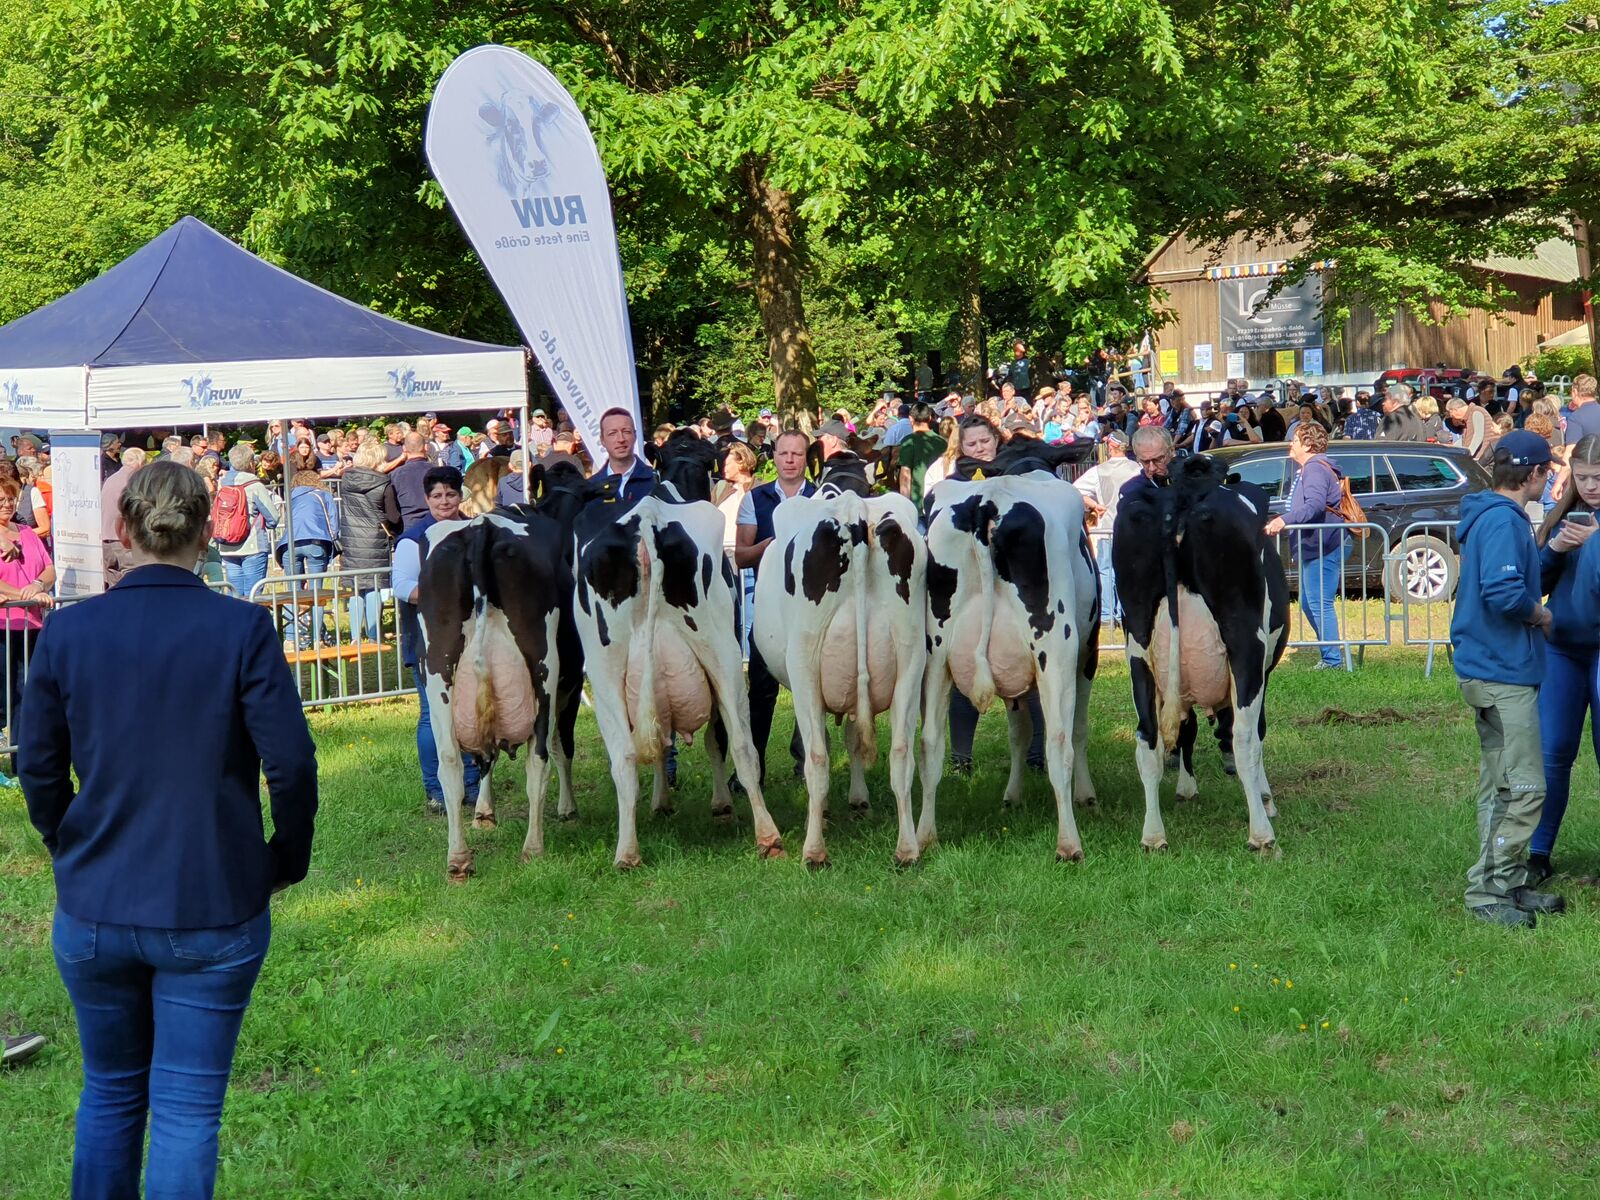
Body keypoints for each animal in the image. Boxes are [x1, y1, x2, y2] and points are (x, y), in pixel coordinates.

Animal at [416, 508, 585, 883]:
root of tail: (483, 528)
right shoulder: (572, 684)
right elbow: (562, 745)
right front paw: (568, 807)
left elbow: (484, 757)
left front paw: (483, 813)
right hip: (545, 668)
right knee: (538, 758)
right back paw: (533, 848)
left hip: (437, 671)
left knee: (450, 761)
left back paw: (458, 860)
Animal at [572, 438, 784, 870]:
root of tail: (648, 521)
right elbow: (715, 740)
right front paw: (719, 804)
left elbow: (660, 741)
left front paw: (661, 801)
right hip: (723, 653)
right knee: (741, 743)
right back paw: (768, 835)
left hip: (603, 669)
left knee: (624, 757)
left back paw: (626, 852)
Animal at [748, 483, 928, 870]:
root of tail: (852, 509)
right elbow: (854, 739)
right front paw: (859, 800)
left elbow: (824, 745)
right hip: (910, 659)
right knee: (901, 753)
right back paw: (907, 849)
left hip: (804, 664)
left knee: (816, 756)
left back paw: (814, 851)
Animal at [915, 448, 1100, 857]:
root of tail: (989, 502)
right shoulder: (1086, 655)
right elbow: (1077, 730)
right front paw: (1087, 795)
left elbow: (1018, 730)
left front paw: (1012, 796)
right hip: (1057, 651)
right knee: (1059, 742)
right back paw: (1069, 843)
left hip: (934, 658)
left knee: (930, 743)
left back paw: (922, 839)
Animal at [1120, 454, 1292, 857]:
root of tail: (1182, 497)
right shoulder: (1262, 672)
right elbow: (1257, 731)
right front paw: (1266, 800)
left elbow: (1187, 728)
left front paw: (1186, 788)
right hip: (1245, 643)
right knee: (1244, 737)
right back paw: (1261, 834)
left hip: (1137, 646)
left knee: (1147, 738)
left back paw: (1153, 835)